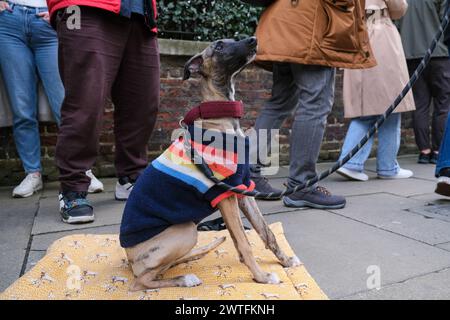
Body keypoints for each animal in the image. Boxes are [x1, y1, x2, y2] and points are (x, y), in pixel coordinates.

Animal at [120, 36, 302, 292]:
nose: (253, 39)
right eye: (219, 46)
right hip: (186, 230)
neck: (222, 119)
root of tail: (129, 258)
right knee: (141, 281)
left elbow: (264, 232)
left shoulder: (242, 189)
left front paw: (285, 261)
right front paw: (262, 277)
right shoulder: (224, 195)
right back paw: (184, 279)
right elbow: (245, 242)